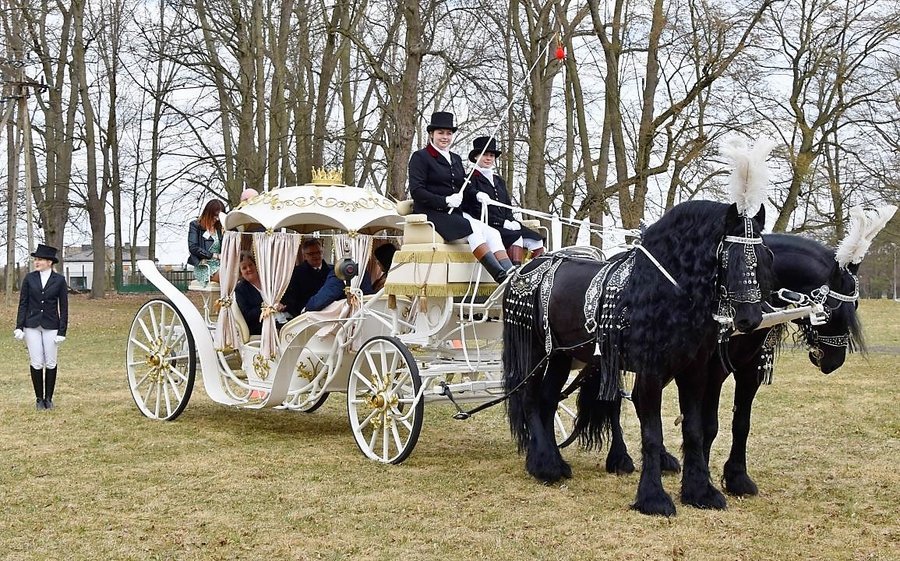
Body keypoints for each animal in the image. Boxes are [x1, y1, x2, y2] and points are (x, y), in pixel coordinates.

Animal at [502, 200, 768, 516]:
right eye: (729, 257)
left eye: (762, 257)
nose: (750, 319)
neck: (667, 289)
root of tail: (525, 268)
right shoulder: (652, 372)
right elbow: (652, 434)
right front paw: (653, 498)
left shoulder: (694, 371)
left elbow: (693, 430)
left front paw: (700, 492)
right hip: (531, 349)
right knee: (529, 398)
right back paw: (544, 466)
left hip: (560, 355)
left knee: (547, 399)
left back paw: (552, 461)